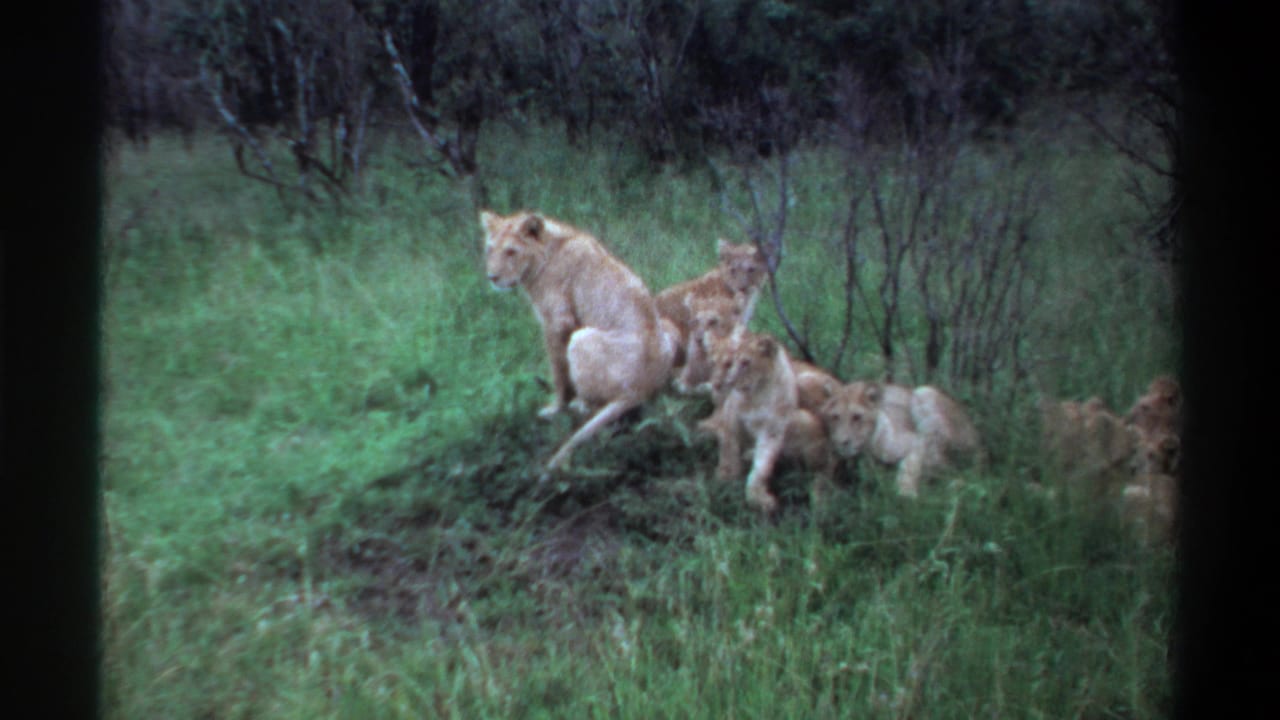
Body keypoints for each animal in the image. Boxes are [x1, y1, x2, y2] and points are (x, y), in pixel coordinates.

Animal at [480, 210, 676, 477]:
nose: (493, 277)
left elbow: (559, 371)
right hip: (667, 325)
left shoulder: (557, 322)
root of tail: (643, 388)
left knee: (595, 405)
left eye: (511, 251)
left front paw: (555, 408)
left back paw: (579, 405)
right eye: (491, 249)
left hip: (581, 339)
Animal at [703, 330, 835, 514]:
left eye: (744, 363)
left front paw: (758, 498)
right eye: (712, 362)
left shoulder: (773, 429)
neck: (757, 394)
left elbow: (762, 466)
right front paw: (726, 476)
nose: (717, 384)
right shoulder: (730, 416)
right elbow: (728, 447)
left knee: (824, 465)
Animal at [820, 380, 981, 498]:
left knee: (949, 466)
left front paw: (906, 494)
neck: (867, 450)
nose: (842, 442)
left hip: (924, 393)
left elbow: (909, 467)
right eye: (835, 417)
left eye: (857, 417)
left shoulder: (917, 441)